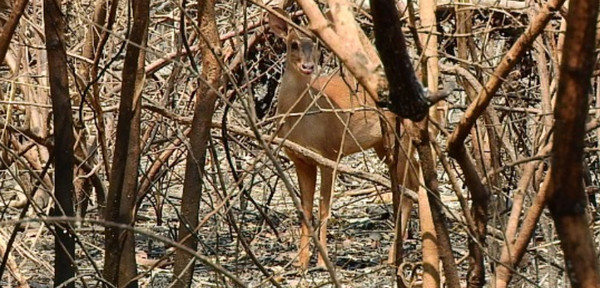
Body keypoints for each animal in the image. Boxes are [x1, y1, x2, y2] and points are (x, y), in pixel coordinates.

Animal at [268, 9, 418, 270]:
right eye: (292, 43)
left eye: (316, 43)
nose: (308, 66)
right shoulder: (300, 159)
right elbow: (305, 210)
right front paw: (301, 262)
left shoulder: (329, 153)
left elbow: (324, 208)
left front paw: (322, 261)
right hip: (382, 144)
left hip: (399, 137)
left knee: (408, 189)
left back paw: (392, 257)